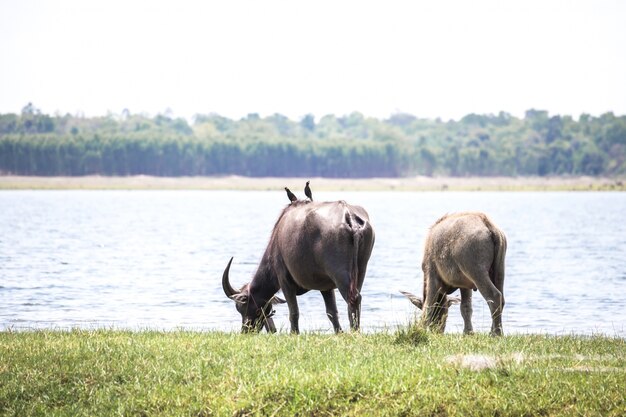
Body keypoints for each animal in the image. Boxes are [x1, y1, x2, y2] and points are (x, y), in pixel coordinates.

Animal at [222, 198, 372, 332]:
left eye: (241, 307)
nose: (246, 330)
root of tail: (349, 216)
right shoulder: (326, 287)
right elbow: (331, 312)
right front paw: (339, 332)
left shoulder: (284, 281)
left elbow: (294, 312)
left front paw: (294, 333)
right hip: (360, 271)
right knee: (356, 299)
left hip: (340, 273)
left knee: (352, 298)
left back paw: (354, 331)